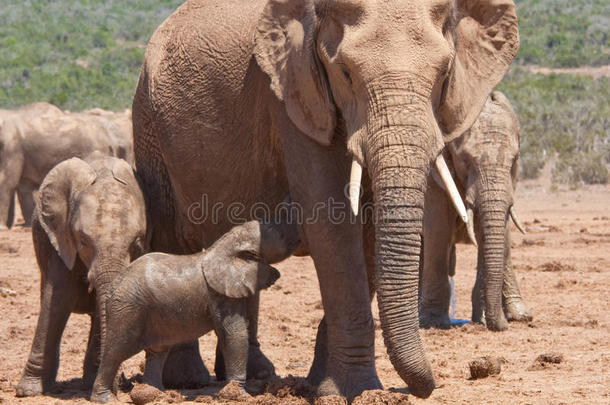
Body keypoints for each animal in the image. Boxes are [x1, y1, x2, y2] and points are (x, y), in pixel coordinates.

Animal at [16, 156, 146, 396]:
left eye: (137, 242)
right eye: (83, 241)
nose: (118, 389)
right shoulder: (60, 238)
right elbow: (59, 297)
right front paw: (28, 391)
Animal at [89, 219, 296, 402]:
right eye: (278, 234)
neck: (226, 244)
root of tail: (114, 285)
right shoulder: (219, 293)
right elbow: (234, 333)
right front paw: (241, 397)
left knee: (158, 351)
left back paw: (155, 394)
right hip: (127, 308)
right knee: (116, 350)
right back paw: (107, 399)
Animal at [132, 0, 516, 398]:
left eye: (443, 74)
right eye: (345, 73)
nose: (425, 387)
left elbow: (368, 234)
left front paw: (324, 388)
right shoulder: (293, 99)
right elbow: (333, 223)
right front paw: (356, 391)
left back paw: (255, 376)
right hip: (148, 125)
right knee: (172, 238)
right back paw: (187, 380)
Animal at [420, 91, 528, 332]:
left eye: (514, 160)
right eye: (465, 160)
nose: (502, 326)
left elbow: (491, 232)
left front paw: (484, 319)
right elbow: (438, 230)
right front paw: (432, 322)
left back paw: (521, 315)